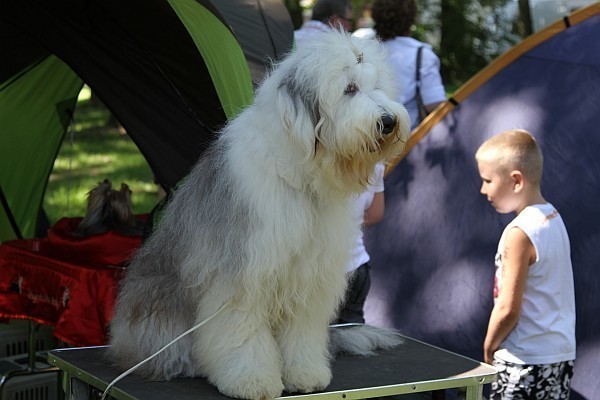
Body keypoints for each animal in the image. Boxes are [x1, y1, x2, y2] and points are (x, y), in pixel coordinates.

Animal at [108, 30, 410, 400]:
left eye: (377, 86)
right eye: (350, 89)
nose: (389, 121)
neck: (299, 176)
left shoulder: (308, 276)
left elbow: (301, 330)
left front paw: (306, 375)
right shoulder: (242, 270)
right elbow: (242, 330)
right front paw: (251, 381)